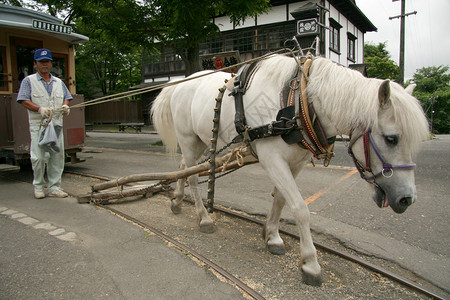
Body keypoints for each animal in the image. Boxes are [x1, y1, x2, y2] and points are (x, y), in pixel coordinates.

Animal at [151, 54, 428, 286]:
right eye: (391, 139)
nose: (407, 199)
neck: (297, 101)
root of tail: (180, 83)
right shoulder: (272, 158)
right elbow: (300, 209)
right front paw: (311, 264)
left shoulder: (296, 162)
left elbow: (282, 200)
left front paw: (271, 235)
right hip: (188, 139)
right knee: (192, 176)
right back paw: (204, 217)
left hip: (199, 141)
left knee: (183, 168)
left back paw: (177, 201)